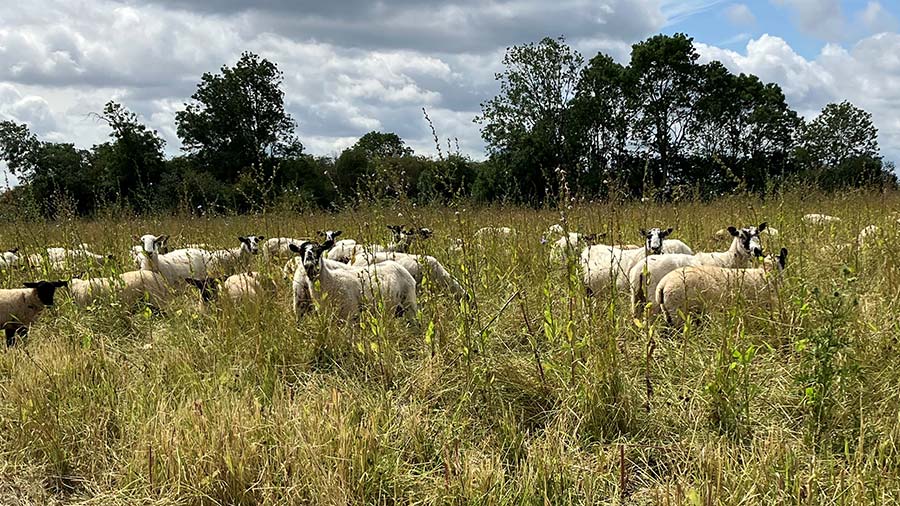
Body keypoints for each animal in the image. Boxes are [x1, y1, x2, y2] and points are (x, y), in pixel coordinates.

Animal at [624, 222, 768, 316]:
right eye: (742, 236)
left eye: (758, 235)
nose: (758, 250)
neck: (730, 258)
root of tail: (639, 269)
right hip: (653, 299)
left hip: (636, 297)